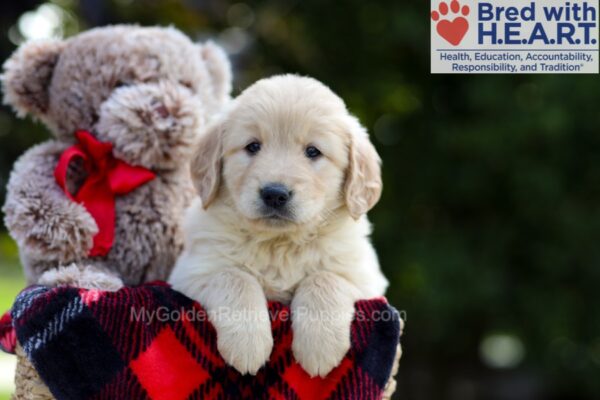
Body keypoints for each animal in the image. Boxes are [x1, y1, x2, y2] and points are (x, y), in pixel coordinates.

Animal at [169, 75, 386, 378]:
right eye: (252, 146)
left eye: (312, 151)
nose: (274, 194)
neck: (279, 244)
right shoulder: (191, 272)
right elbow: (233, 276)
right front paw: (247, 343)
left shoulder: (366, 280)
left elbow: (325, 277)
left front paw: (320, 347)